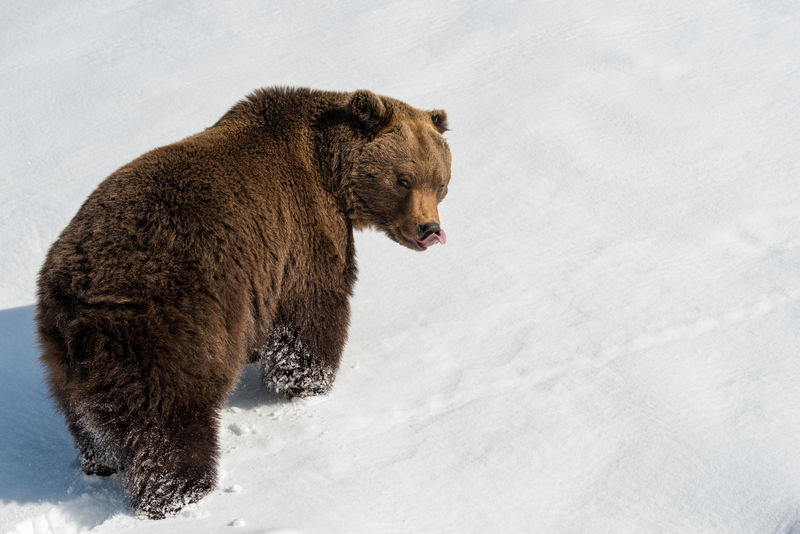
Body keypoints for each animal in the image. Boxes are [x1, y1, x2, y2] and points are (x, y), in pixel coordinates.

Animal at [36, 88, 450, 520]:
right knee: (168, 418)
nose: (429, 229)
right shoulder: (302, 229)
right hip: (166, 323)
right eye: (403, 179)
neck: (329, 168)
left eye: (440, 183)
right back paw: (179, 493)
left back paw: (100, 463)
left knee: (85, 418)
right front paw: (308, 383)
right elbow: (310, 311)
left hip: (62, 353)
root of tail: (79, 299)